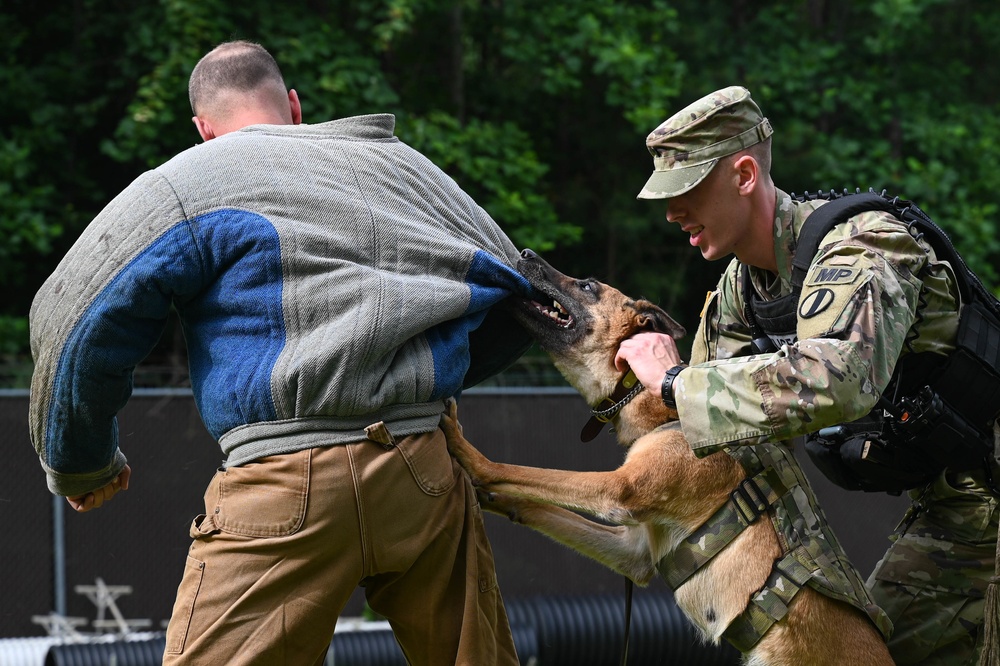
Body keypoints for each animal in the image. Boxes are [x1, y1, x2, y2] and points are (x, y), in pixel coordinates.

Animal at [442, 250, 896, 664]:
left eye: (587, 285)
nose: (524, 254)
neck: (660, 407)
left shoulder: (618, 490)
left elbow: (521, 470)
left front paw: (466, 451)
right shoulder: (635, 554)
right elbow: (539, 504)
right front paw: (493, 498)